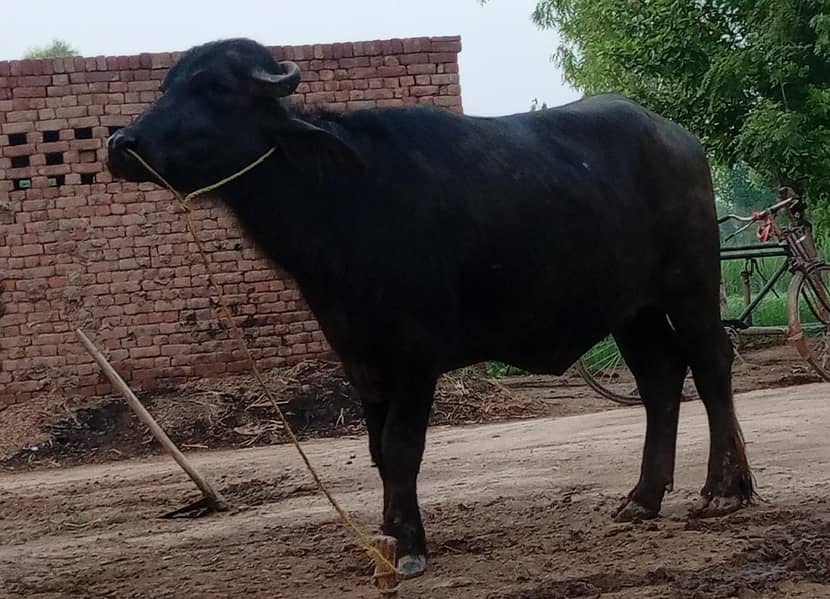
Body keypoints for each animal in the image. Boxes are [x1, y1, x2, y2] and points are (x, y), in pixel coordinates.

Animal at [106, 38, 754, 578]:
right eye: (167, 85)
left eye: (215, 88)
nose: (120, 144)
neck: (342, 202)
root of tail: (679, 139)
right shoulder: (359, 358)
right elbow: (376, 451)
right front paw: (389, 535)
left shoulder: (416, 356)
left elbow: (401, 447)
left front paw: (411, 547)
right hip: (630, 309)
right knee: (660, 378)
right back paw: (643, 498)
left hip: (689, 283)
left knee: (710, 363)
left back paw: (726, 489)